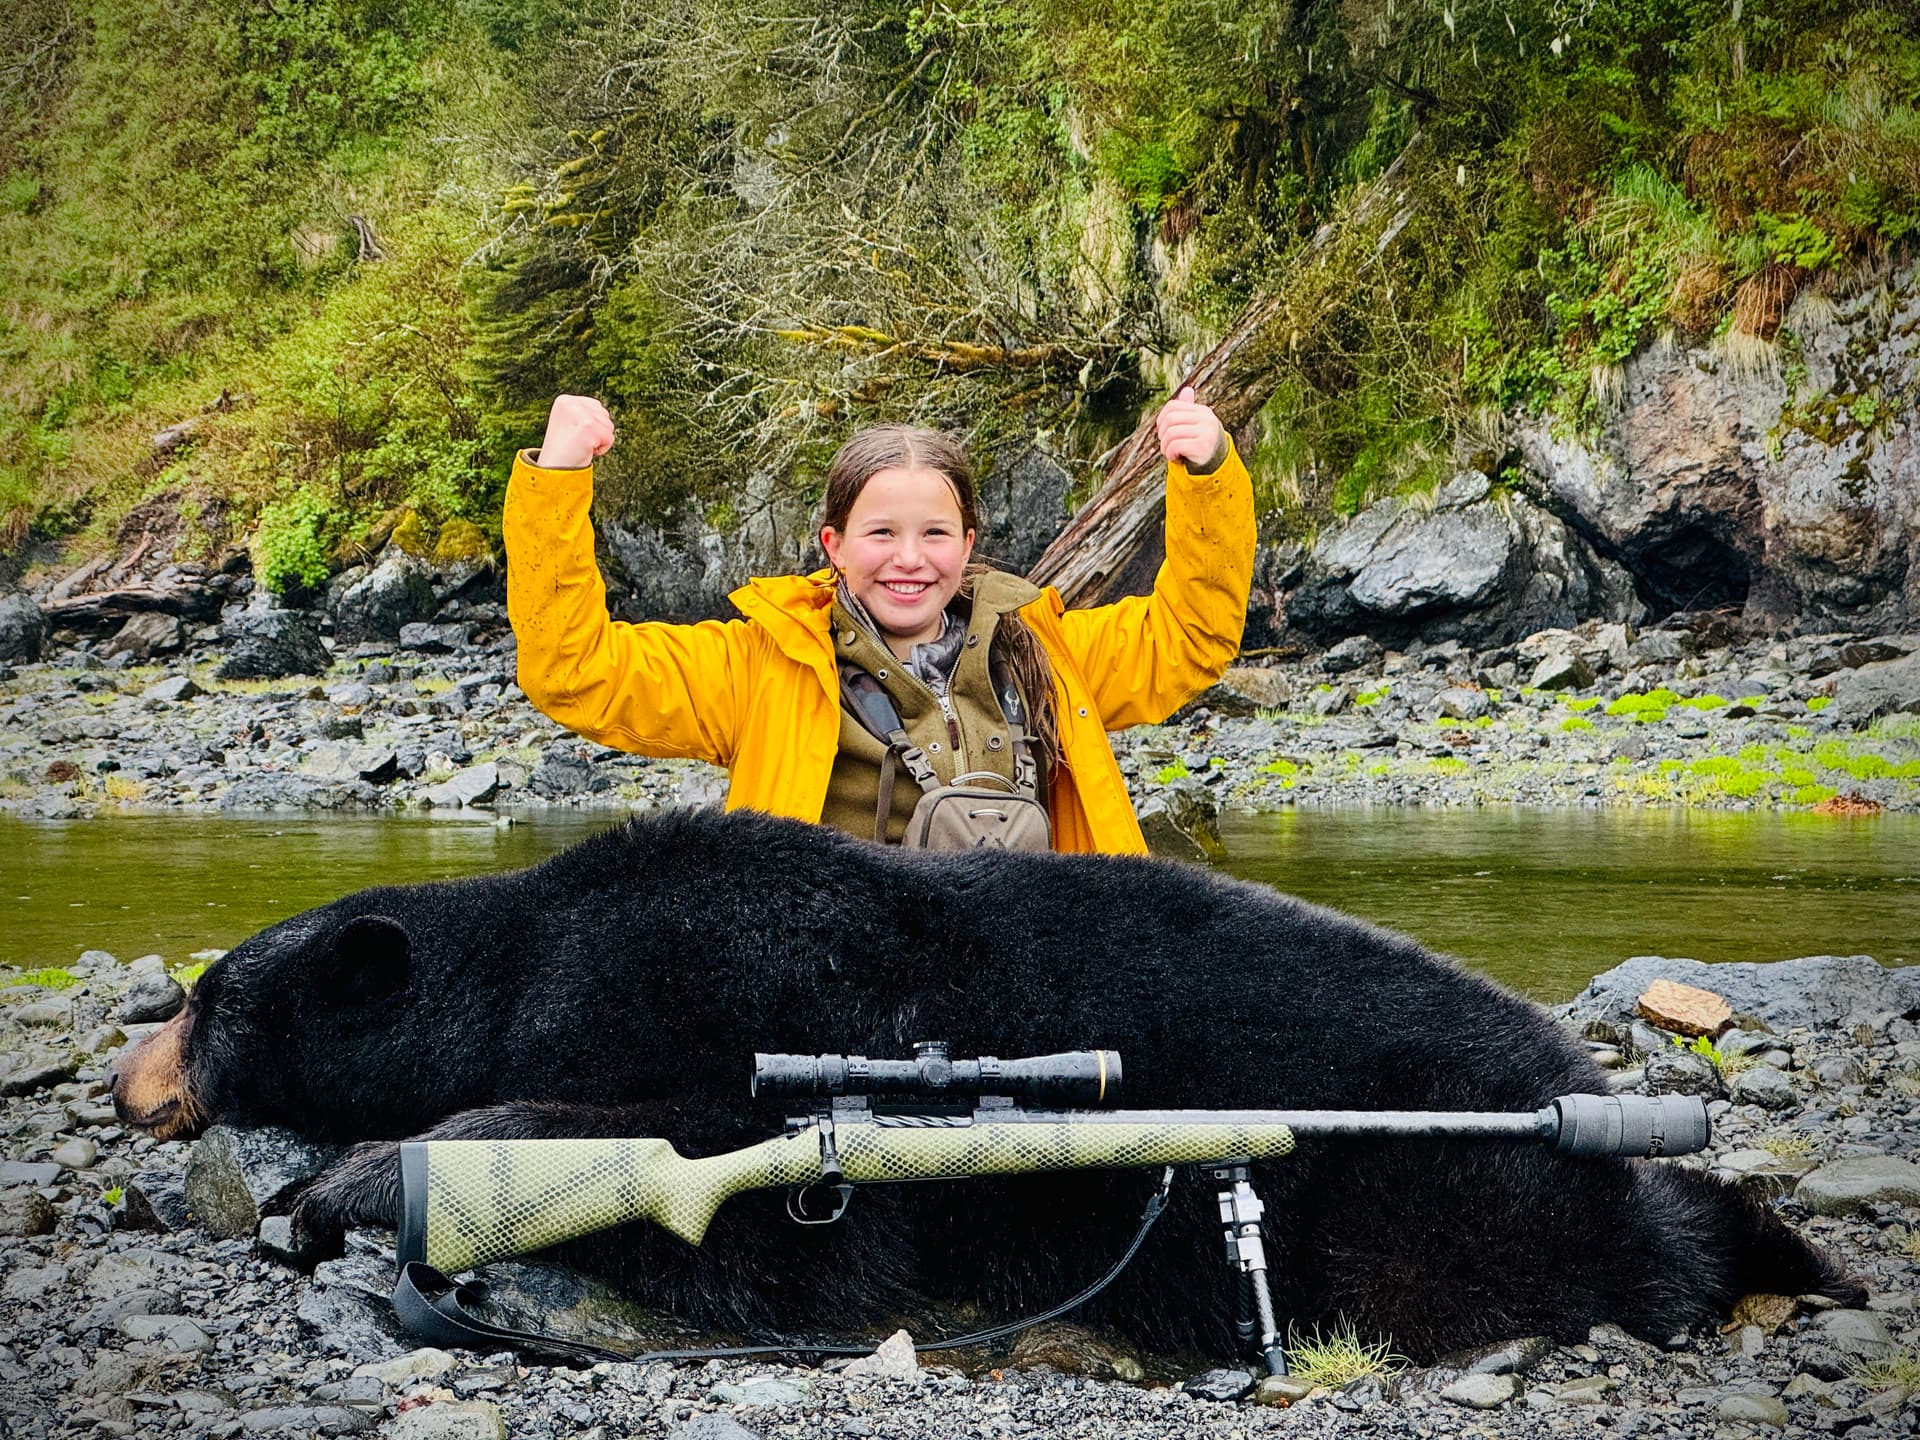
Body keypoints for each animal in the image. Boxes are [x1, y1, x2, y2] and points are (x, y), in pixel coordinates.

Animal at [111, 807, 1862, 1362]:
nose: (130, 1074)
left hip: (1453, 1191)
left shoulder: (732, 986)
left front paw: (343, 1182)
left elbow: (773, 1228)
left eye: (207, 999)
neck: (538, 949)